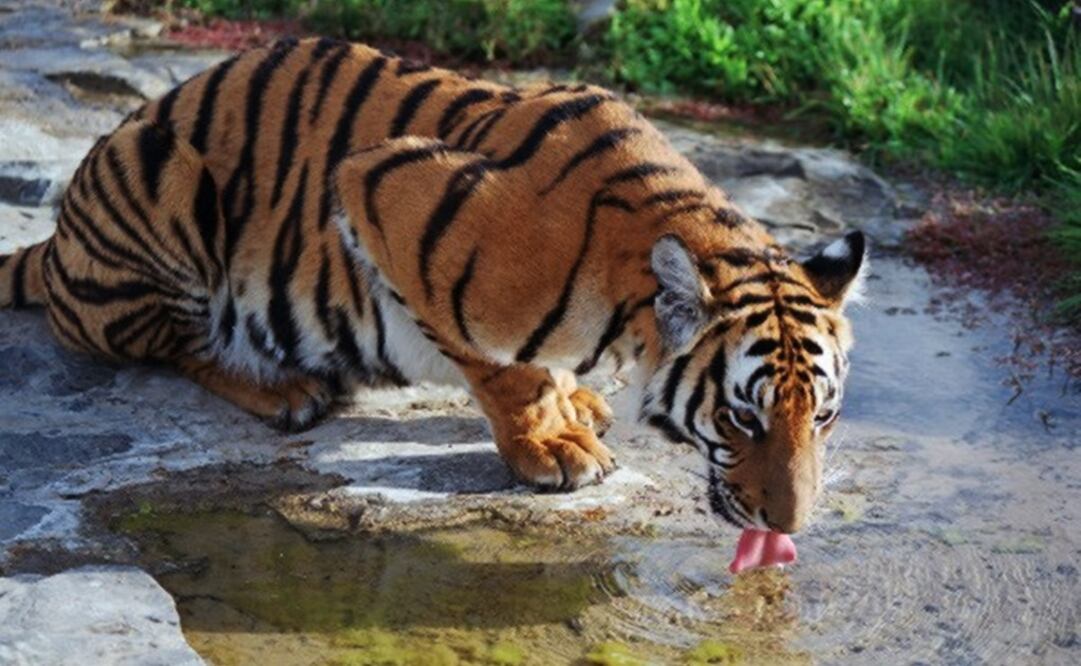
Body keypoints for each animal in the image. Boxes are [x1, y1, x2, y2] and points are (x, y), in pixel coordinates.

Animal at [0, 37, 865, 535]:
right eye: (741, 417)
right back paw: (282, 387)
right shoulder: (380, 188)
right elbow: (506, 371)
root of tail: (56, 242)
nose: (789, 527)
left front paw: (575, 400)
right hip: (162, 169)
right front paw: (550, 444)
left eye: (820, 417)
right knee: (172, 343)